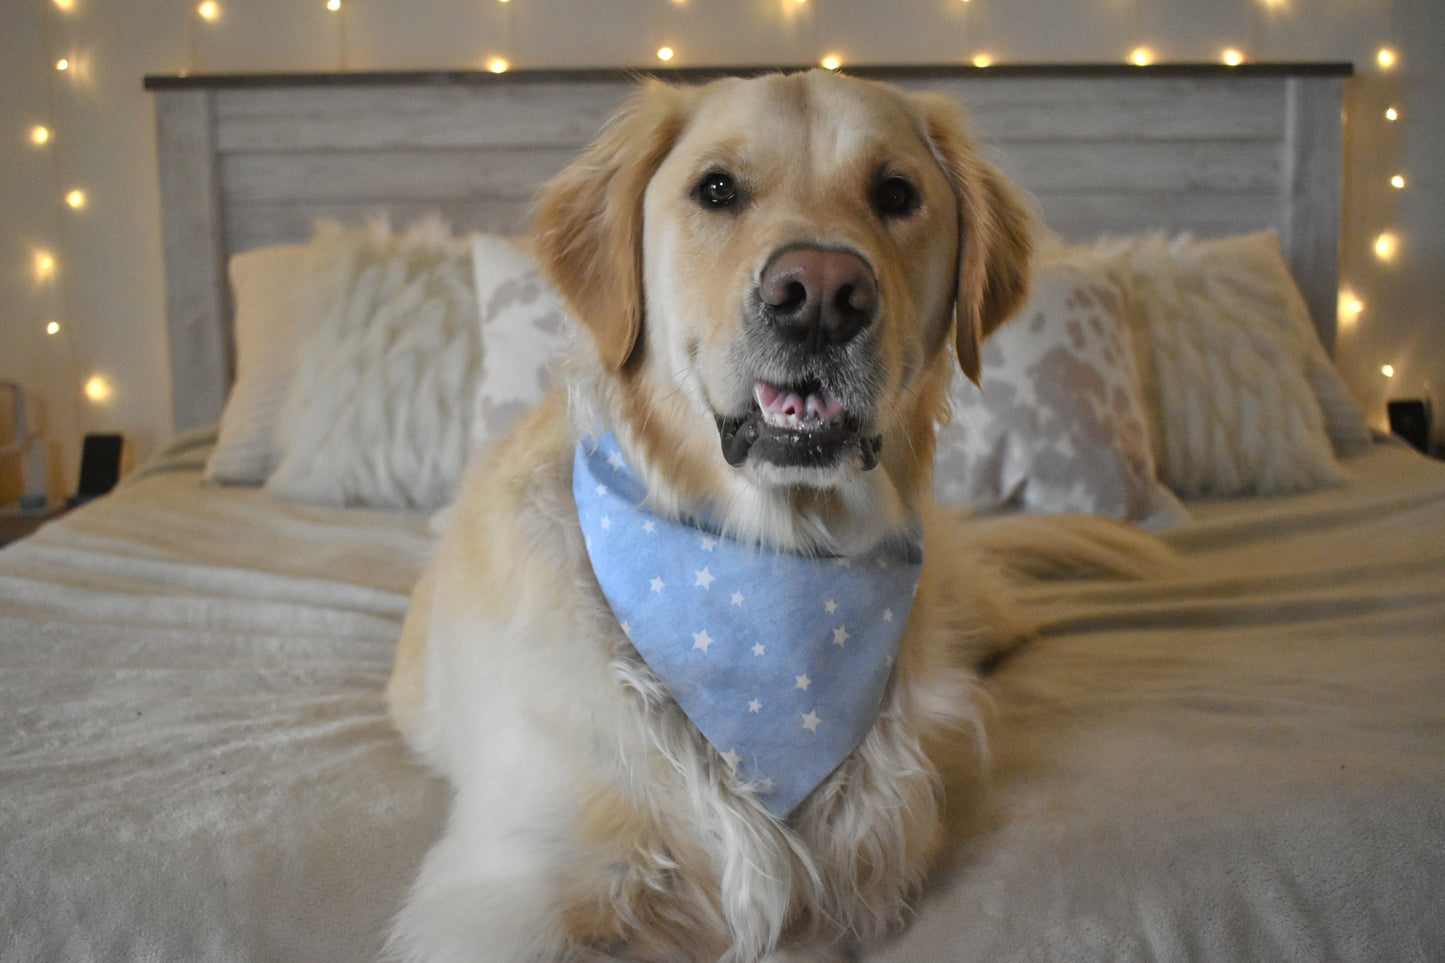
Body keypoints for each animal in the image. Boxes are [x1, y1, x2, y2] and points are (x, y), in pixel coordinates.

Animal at [387, 69, 1150, 960]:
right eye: (716, 189)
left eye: (896, 193)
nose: (819, 293)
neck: (770, 567)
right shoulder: (513, 887)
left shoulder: (865, 877)